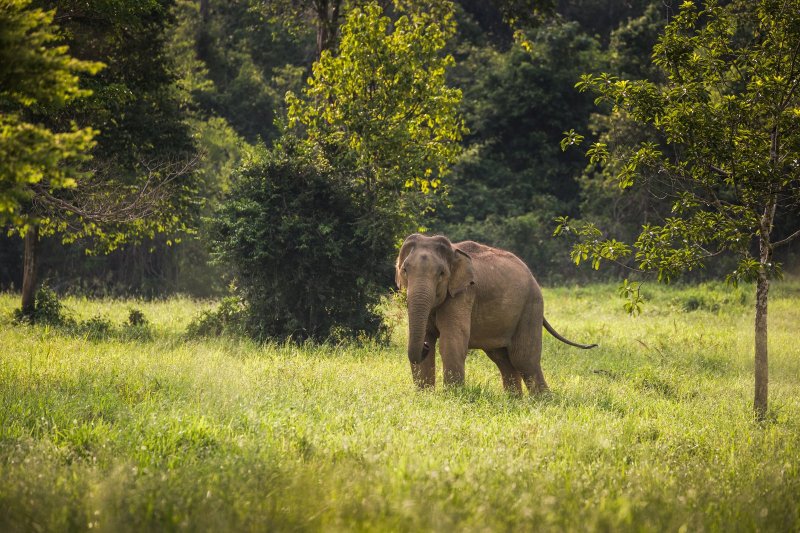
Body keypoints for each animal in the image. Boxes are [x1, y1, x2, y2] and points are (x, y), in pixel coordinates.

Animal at [395, 233, 597, 394]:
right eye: (404, 270)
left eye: (442, 273)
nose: (425, 347)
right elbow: (429, 336)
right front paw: (425, 395)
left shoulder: (463, 294)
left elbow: (452, 341)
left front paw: (452, 396)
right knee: (502, 359)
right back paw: (514, 400)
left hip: (531, 306)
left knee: (524, 359)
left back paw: (543, 401)